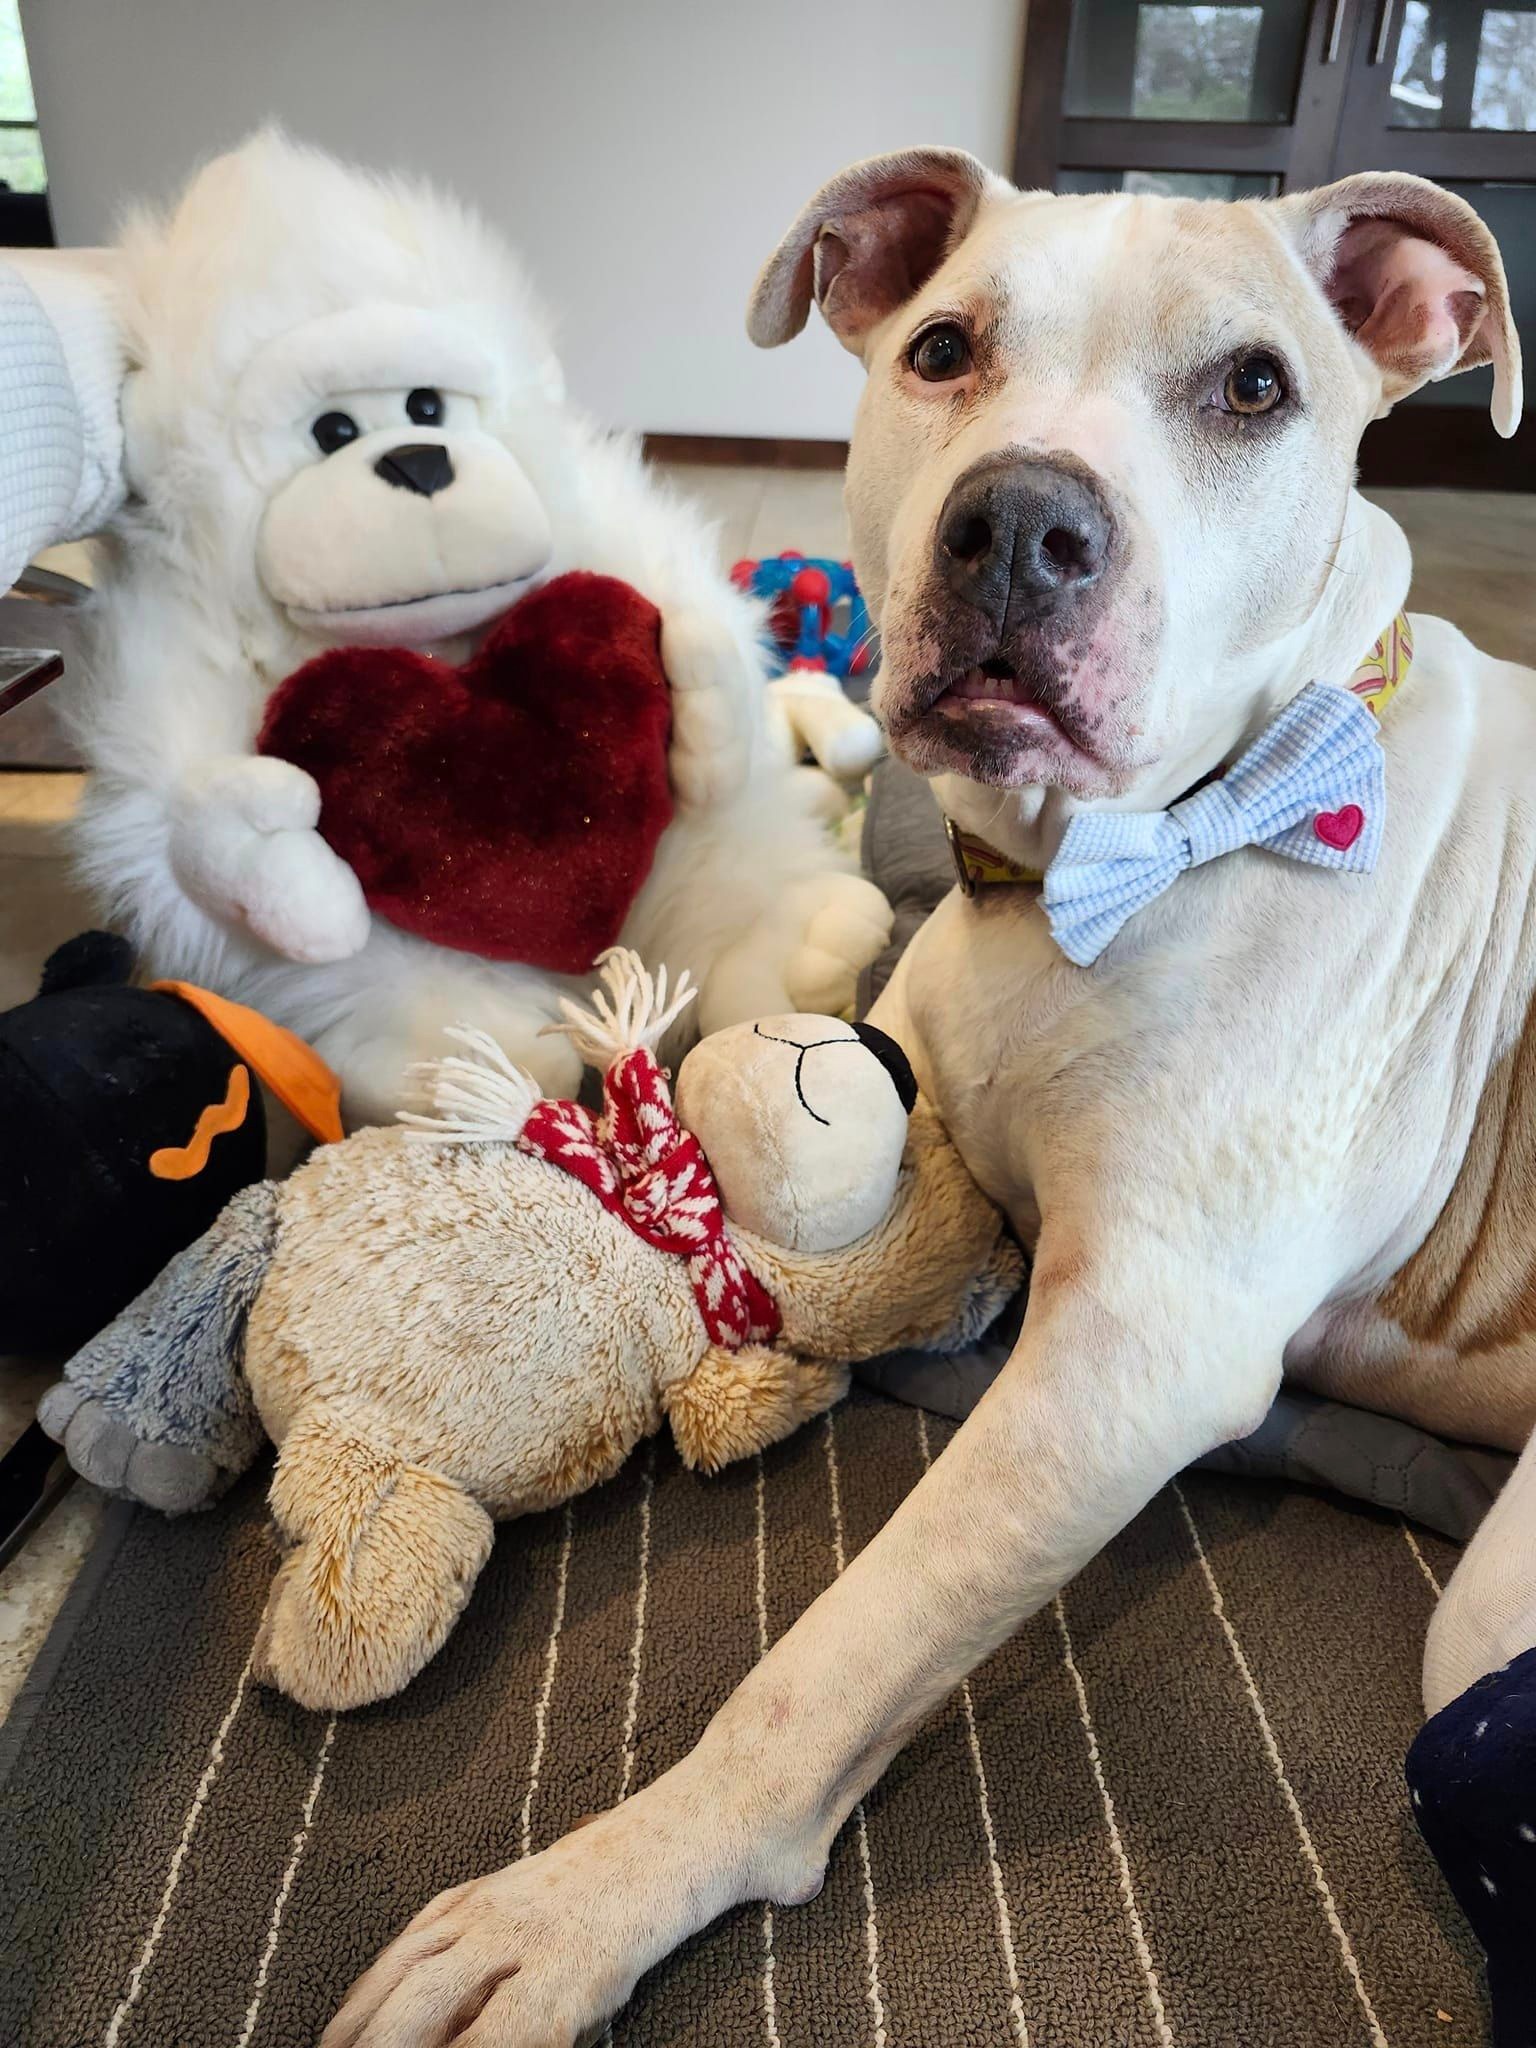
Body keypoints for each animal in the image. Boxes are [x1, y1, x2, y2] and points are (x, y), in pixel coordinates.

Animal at [69, 136, 888, 1130]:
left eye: (428, 406)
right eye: (331, 428)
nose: (420, 461)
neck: (444, 649)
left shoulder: (609, 530)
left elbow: (699, 634)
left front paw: (696, 673)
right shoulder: (164, 655)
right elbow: (180, 807)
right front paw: (293, 869)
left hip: (700, 853)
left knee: (732, 879)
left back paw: (804, 948)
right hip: (406, 969)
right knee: (402, 994)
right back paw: (465, 1056)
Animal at [331, 155, 1536, 2048]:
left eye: (1253, 386)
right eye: (945, 348)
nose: (1021, 525)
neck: (1098, 870)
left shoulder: (1130, 1358)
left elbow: (828, 1659)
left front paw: (577, 1900)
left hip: (1486, 1617)